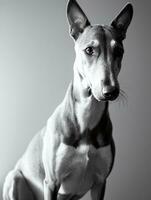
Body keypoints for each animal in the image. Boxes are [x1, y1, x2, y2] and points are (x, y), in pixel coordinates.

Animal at [2, 0, 133, 200]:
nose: (110, 91)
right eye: (89, 50)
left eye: (119, 51)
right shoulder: (52, 182)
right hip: (14, 177)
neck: (88, 115)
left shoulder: (100, 183)